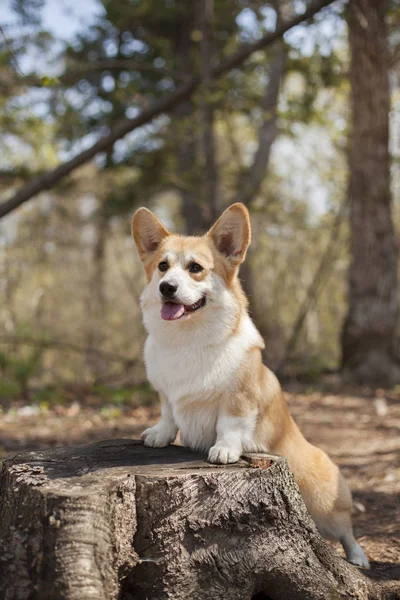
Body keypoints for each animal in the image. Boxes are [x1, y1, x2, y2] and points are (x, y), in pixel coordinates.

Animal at [133, 202, 370, 568]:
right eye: (162, 267)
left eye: (195, 268)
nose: (166, 288)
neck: (187, 339)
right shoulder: (165, 394)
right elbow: (168, 413)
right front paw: (159, 435)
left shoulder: (239, 399)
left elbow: (230, 423)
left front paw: (224, 450)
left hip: (325, 501)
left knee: (346, 531)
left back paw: (359, 558)